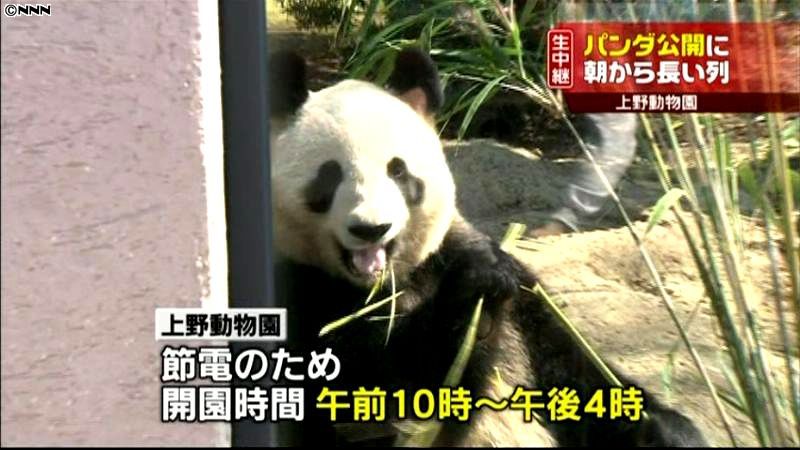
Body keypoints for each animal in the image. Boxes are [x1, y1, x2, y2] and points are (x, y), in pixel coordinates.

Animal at [268, 47, 708, 448]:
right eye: (330, 176)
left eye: (398, 171)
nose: (371, 229)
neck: (386, 285)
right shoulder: (303, 292)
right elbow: (385, 391)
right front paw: (469, 301)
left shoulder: (505, 288)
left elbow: (572, 371)